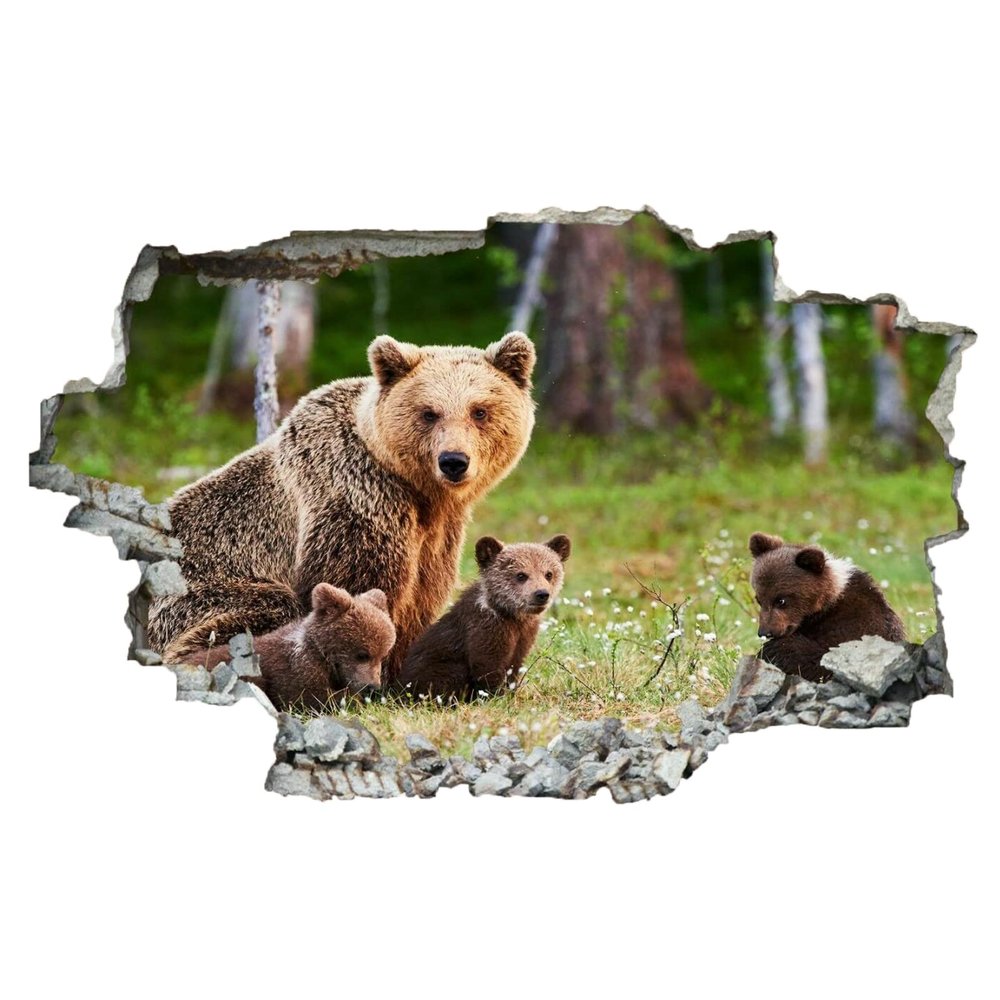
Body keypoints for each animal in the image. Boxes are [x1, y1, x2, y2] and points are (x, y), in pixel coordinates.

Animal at [147, 331, 537, 683]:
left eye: (479, 411)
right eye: (429, 413)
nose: (454, 461)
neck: (417, 490)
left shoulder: (437, 533)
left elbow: (422, 596)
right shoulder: (356, 499)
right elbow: (356, 588)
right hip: (194, 596)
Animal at [396, 533, 571, 702]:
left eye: (549, 574)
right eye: (521, 575)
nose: (542, 594)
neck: (511, 615)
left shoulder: (524, 636)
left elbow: (514, 667)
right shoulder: (486, 630)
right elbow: (487, 668)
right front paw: (495, 697)